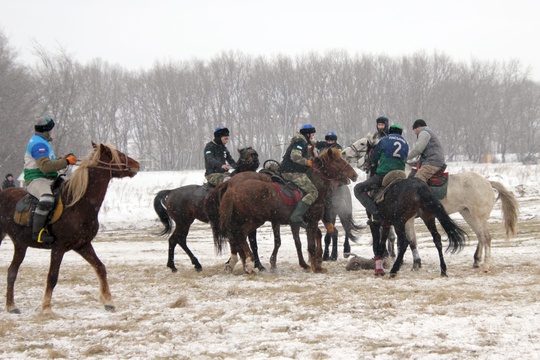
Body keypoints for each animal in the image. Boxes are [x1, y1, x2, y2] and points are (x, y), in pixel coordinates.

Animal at [0, 142, 139, 314]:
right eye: (117, 154)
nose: (136, 164)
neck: (78, 204)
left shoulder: (82, 245)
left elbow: (100, 268)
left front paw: (108, 302)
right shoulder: (58, 248)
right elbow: (52, 277)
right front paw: (46, 308)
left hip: (21, 244)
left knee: (12, 271)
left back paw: (11, 306)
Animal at [215, 148, 358, 274]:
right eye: (337, 161)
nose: (354, 174)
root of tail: (233, 188)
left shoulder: (294, 223)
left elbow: (299, 242)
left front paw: (307, 264)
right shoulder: (311, 222)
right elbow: (311, 244)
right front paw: (316, 267)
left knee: (236, 236)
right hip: (254, 220)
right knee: (240, 235)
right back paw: (249, 263)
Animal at [342, 134, 520, 272]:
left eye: (362, 143)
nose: (343, 152)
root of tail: (488, 182)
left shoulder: (407, 219)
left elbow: (410, 240)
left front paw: (414, 263)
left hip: (478, 216)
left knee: (486, 237)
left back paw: (486, 265)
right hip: (468, 214)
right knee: (481, 237)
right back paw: (477, 260)